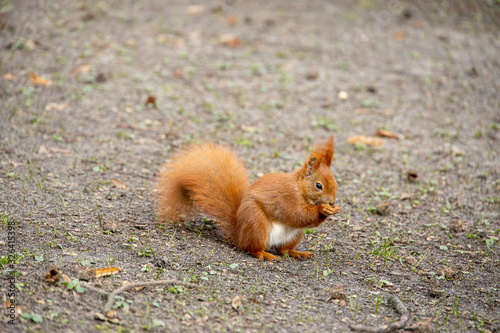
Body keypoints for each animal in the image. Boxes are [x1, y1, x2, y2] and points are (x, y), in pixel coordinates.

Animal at [157, 135, 340, 260]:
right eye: (319, 185)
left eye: (336, 182)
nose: (332, 201)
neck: (300, 188)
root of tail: (239, 235)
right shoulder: (288, 198)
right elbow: (297, 214)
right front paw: (323, 209)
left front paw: (334, 208)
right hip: (256, 223)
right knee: (252, 249)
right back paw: (265, 255)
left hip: (295, 235)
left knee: (283, 250)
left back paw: (298, 253)